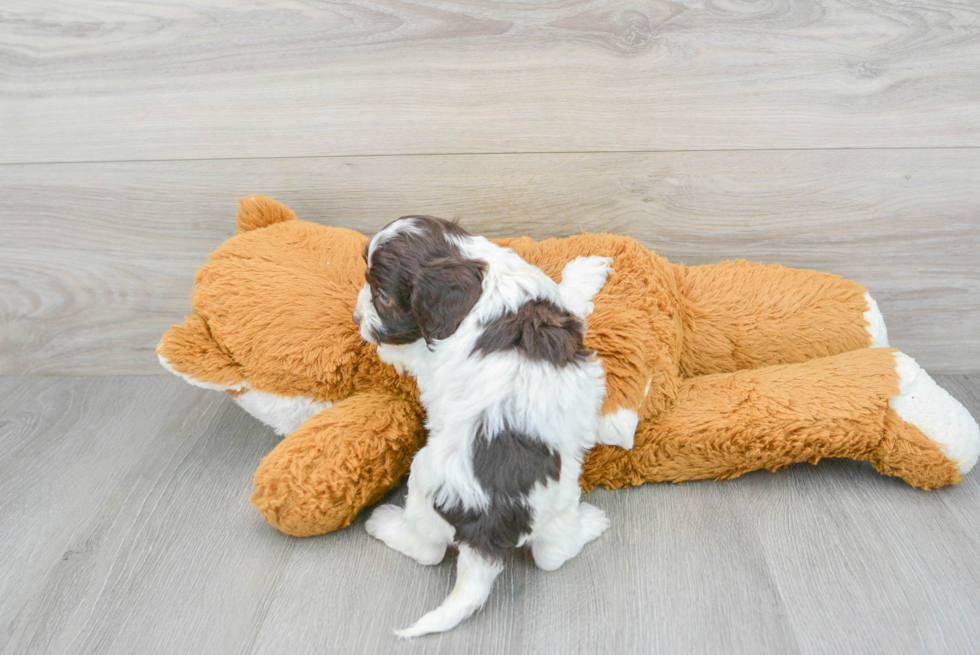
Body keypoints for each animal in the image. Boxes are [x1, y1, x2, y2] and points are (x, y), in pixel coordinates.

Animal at [356, 218, 620, 640]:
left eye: (381, 295)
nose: (356, 317)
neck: (474, 273)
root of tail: (487, 530)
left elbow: (398, 348)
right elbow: (568, 299)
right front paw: (585, 273)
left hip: (423, 477)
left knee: (429, 550)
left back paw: (384, 523)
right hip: (559, 498)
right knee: (552, 554)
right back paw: (590, 525)